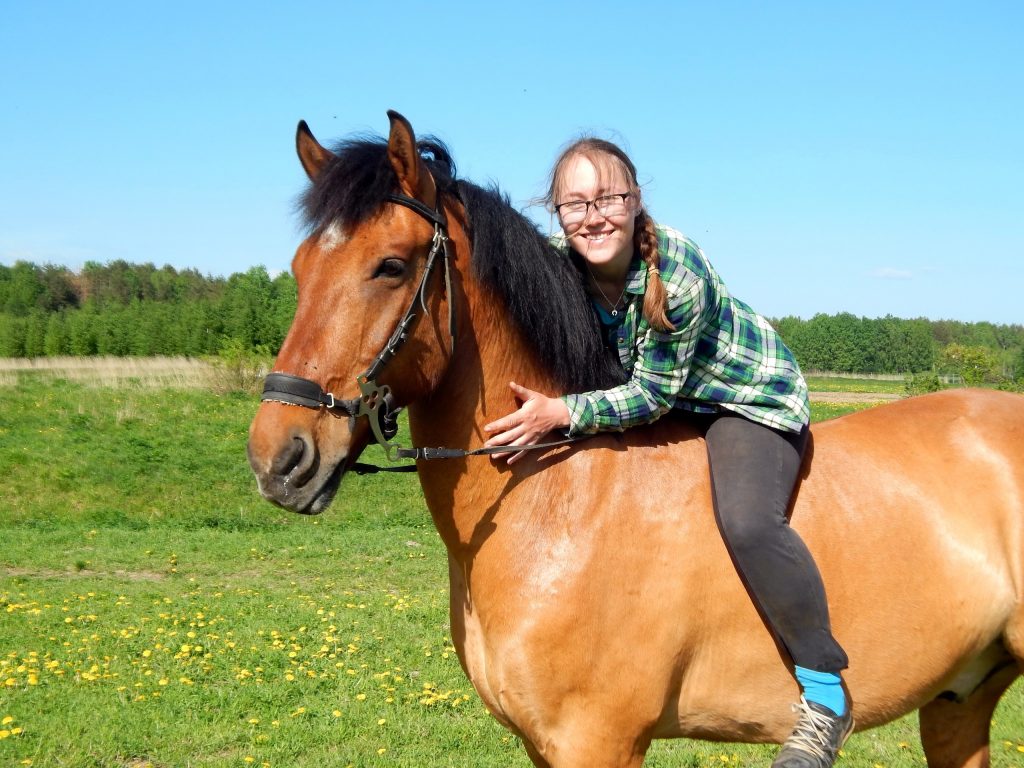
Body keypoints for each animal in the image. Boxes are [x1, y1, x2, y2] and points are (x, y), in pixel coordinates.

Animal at [247, 111, 1024, 765]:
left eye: (391, 266)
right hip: (958, 700)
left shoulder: (597, 739)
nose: (278, 458)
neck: (562, 502)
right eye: (299, 267)